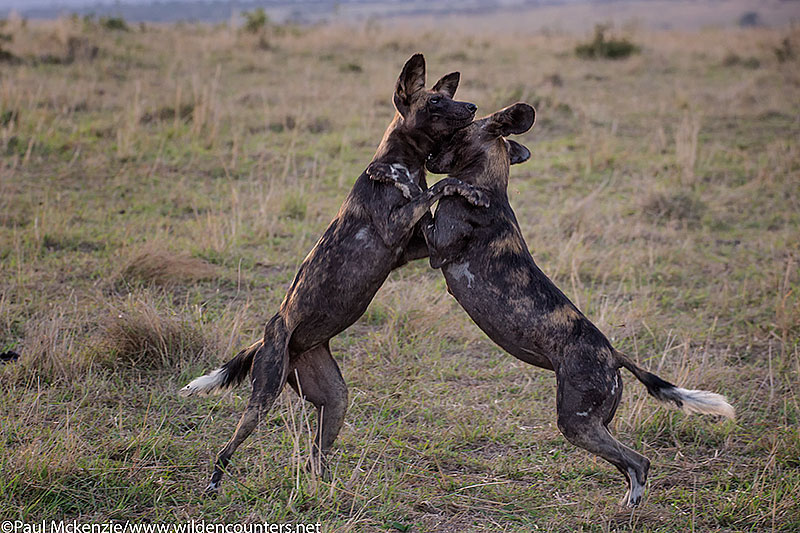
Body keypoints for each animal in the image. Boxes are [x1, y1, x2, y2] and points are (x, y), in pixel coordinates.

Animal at [180, 55, 488, 494]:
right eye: (434, 103)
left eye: (450, 98)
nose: (472, 107)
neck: (405, 162)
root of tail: (270, 337)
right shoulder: (396, 229)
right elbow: (432, 188)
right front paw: (412, 180)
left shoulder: (413, 248)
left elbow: (439, 188)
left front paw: (465, 189)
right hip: (263, 397)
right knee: (228, 447)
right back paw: (214, 484)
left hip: (334, 399)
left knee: (316, 457)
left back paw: (326, 491)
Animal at [422, 104, 736, 508]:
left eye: (456, 134)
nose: (429, 156)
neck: (489, 184)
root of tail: (614, 354)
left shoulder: (435, 247)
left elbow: (432, 194)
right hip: (591, 424)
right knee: (629, 463)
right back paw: (627, 503)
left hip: (575, 423)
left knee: (639, 462)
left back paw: (629, 509)